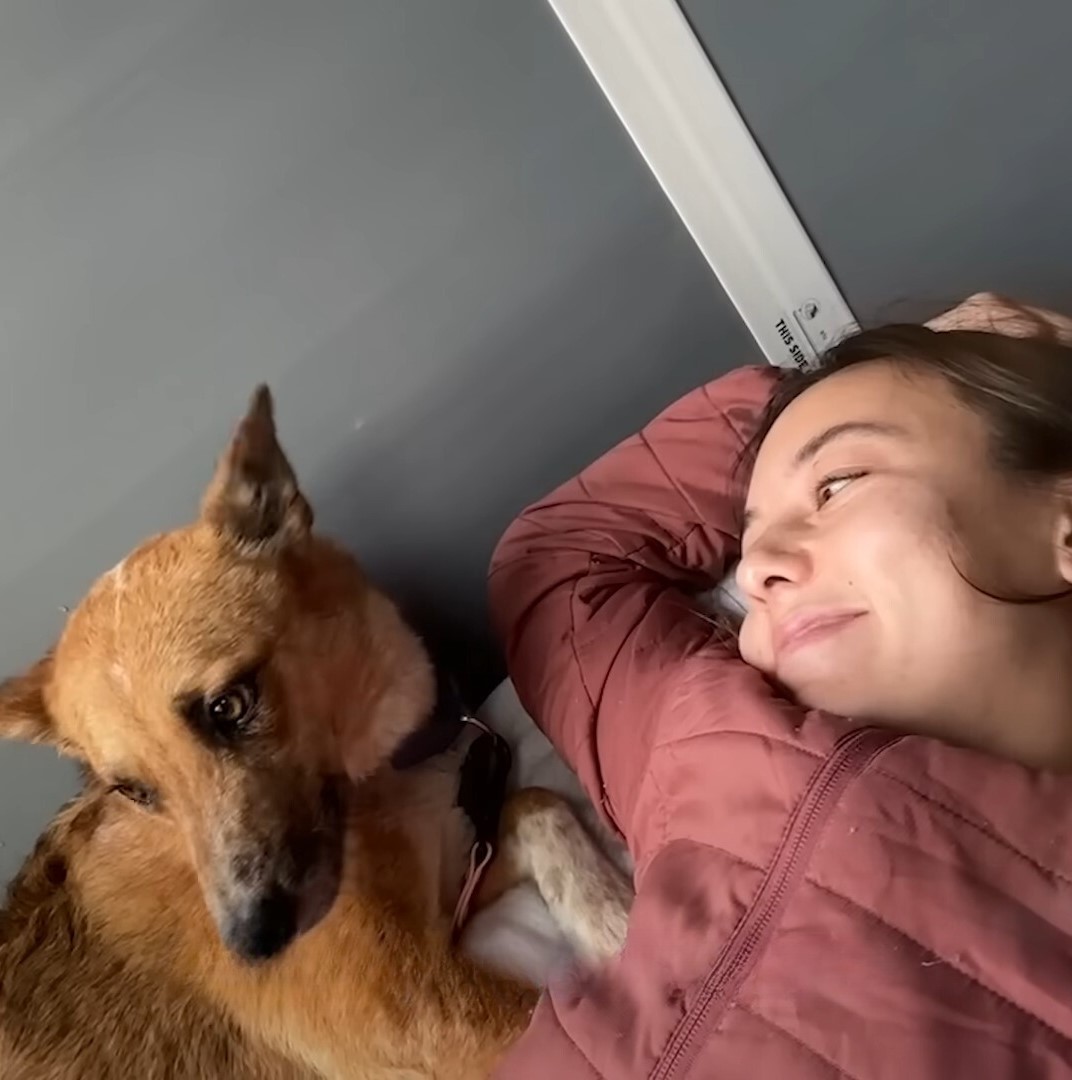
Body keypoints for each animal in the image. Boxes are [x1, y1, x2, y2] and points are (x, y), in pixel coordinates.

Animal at [0, 388, 626, 1080]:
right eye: (133, 791)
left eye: (228, 706)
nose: (254, 946)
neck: (386, 772)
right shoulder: (434, 1017)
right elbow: (587, 1032)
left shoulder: (455, 888)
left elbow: (535, 804)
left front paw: (613, 921)